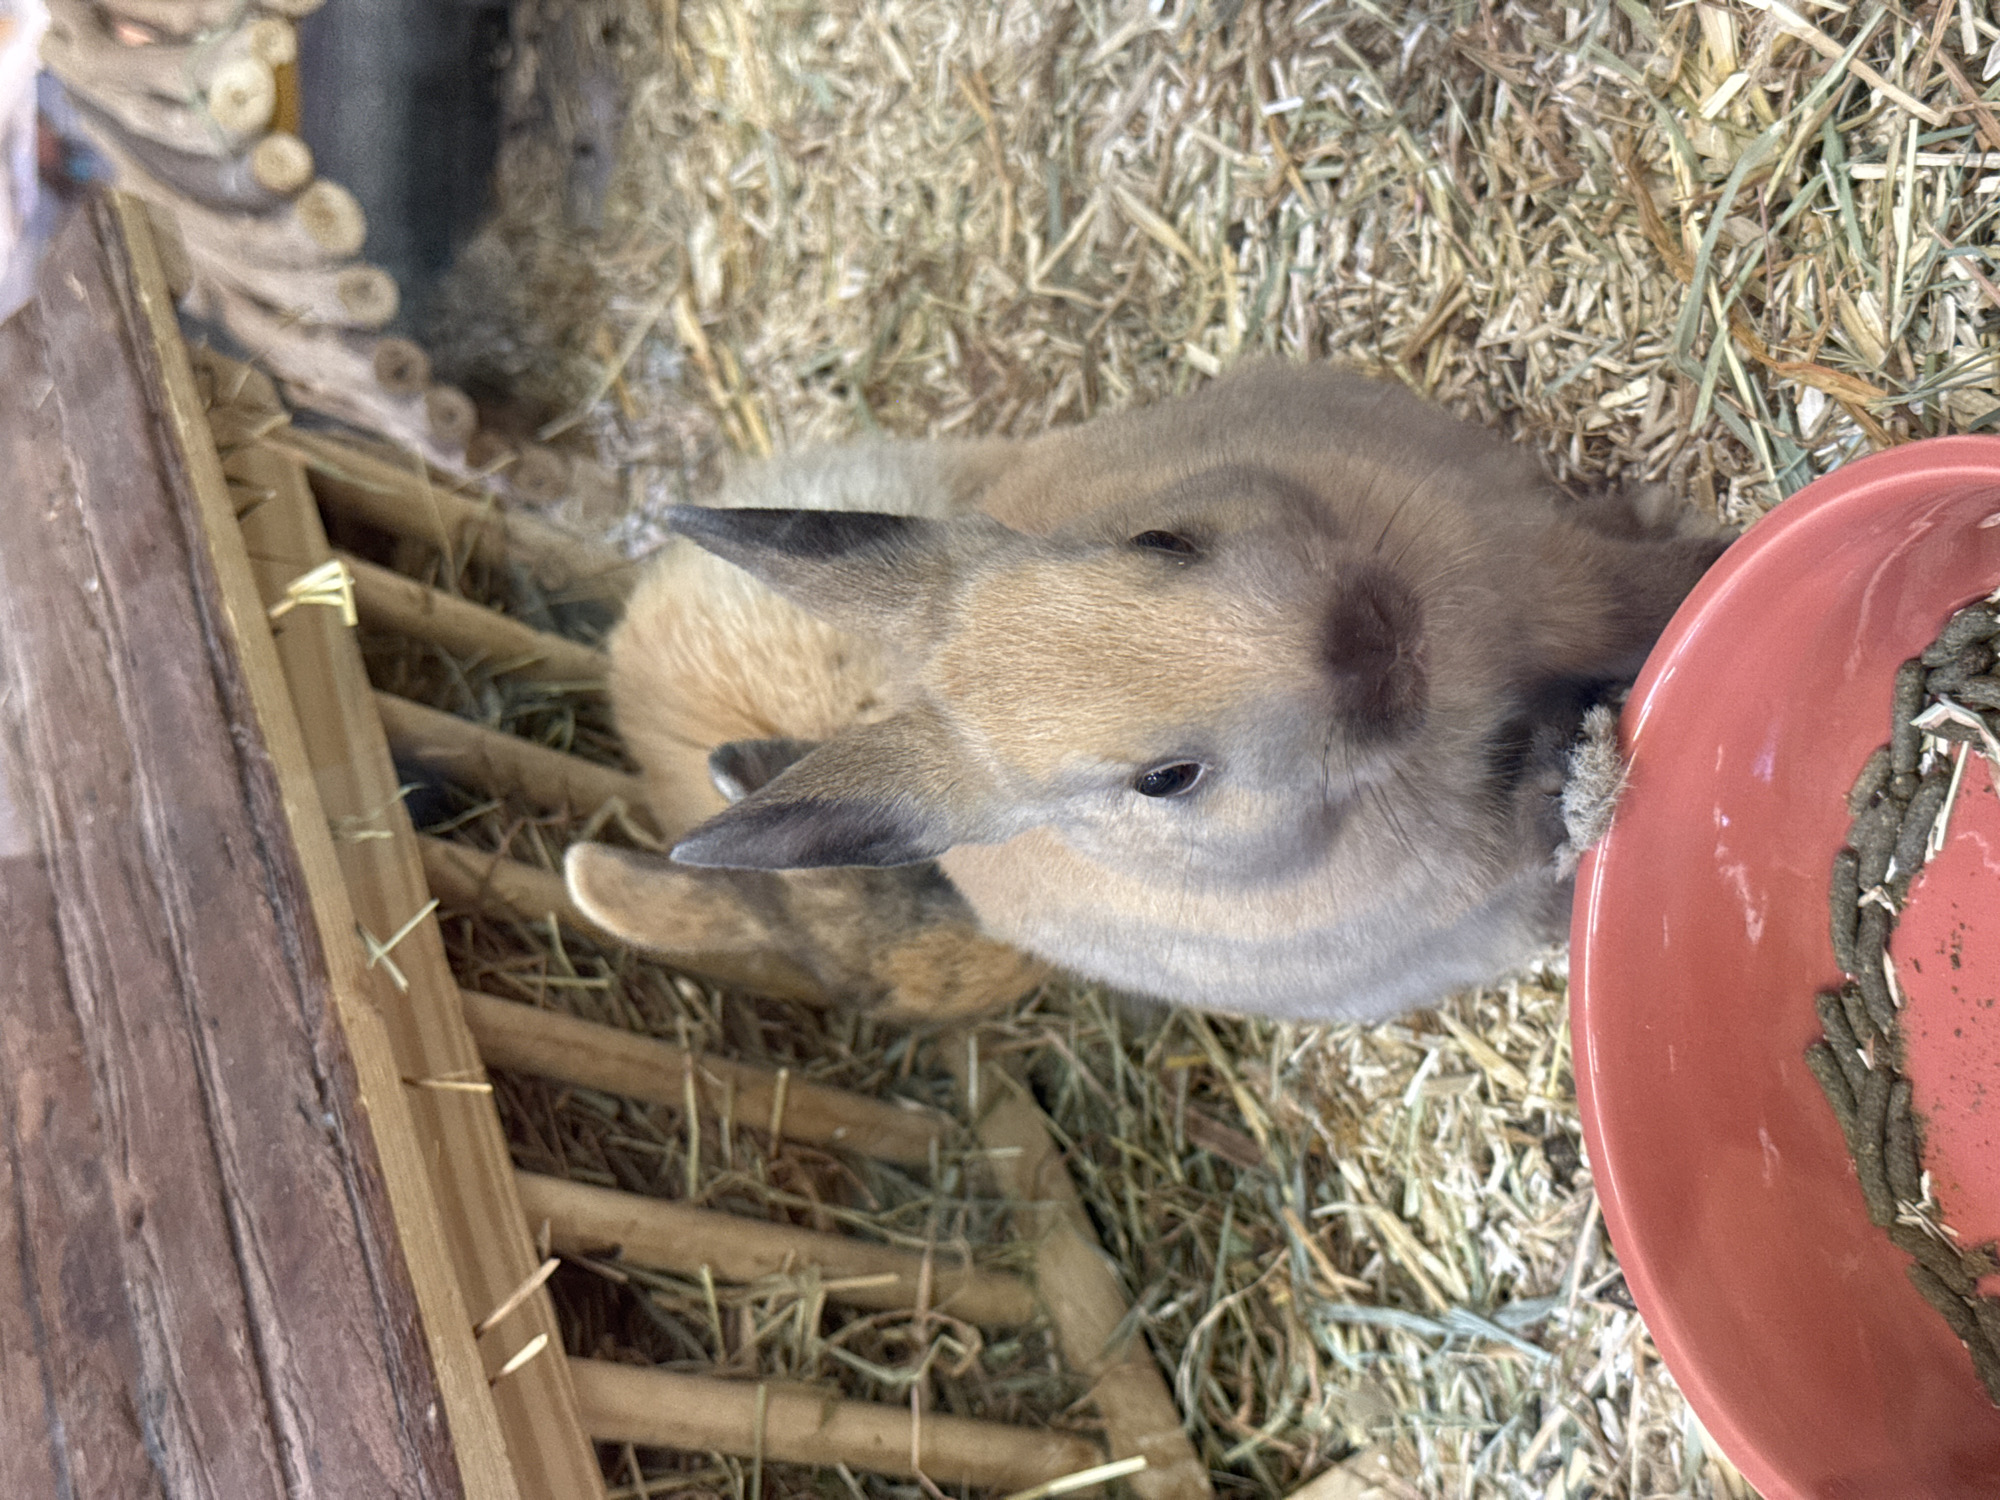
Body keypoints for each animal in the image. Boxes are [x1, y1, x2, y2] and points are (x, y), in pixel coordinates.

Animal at [565, 359, 1727, 1023]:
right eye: (1165, 781)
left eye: (1158, 540)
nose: (1368, 638)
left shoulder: (1537, 576)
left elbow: (1637, 596)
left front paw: (1717, 557)